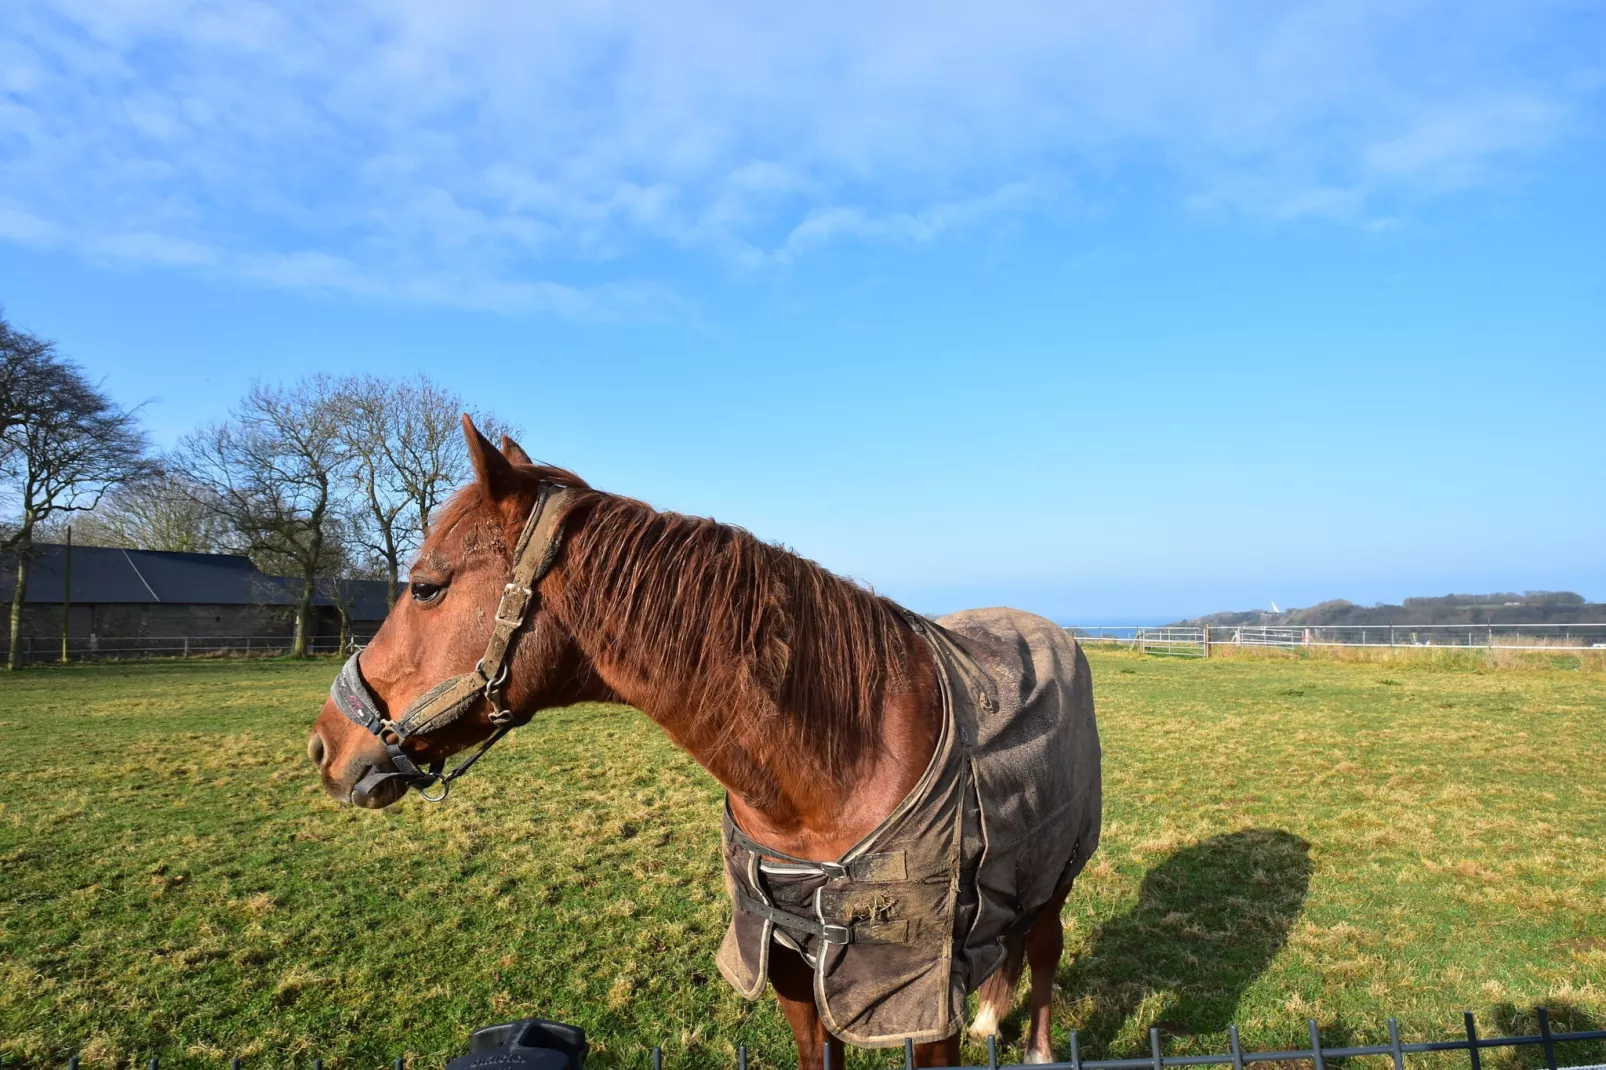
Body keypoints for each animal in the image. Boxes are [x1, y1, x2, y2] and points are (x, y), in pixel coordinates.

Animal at [306, 417, 1085, 1066]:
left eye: (425, 587)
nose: (324, 746)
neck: (836, 768)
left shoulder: (917, 999)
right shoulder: (789, 964)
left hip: (1059, 874)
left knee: (1044, 947)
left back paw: (1038, 1048)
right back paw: (991, 1019)